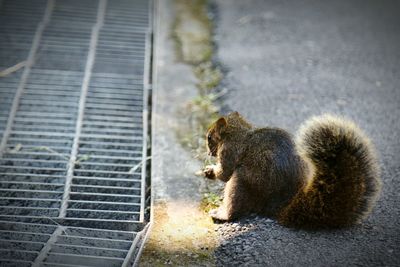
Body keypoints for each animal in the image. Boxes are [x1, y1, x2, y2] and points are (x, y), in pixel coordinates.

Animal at [203, 112, 382, 229]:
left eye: (209, 137)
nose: (208, 152)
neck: (239, 132)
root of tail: (282, 208)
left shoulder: (229, 151)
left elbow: (225, 173)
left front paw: (210, 171)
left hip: (242, 182)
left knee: (236, 205)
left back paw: (221, 214)